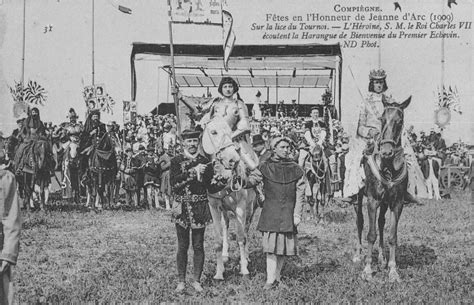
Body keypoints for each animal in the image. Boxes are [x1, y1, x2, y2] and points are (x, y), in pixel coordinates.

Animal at [356, 96, 412, 282]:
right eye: (382, 119)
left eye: (399, 121)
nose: (387, 151)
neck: (388, 167)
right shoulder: (373, 201)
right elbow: (371, 234)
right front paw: (367, 270)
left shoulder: (397, 203)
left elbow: (392, 236)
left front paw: (393, 270)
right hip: (359, 198)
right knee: (360, 222)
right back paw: (358, 255)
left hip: (385, 202)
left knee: (380, 222)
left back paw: (381, 258)